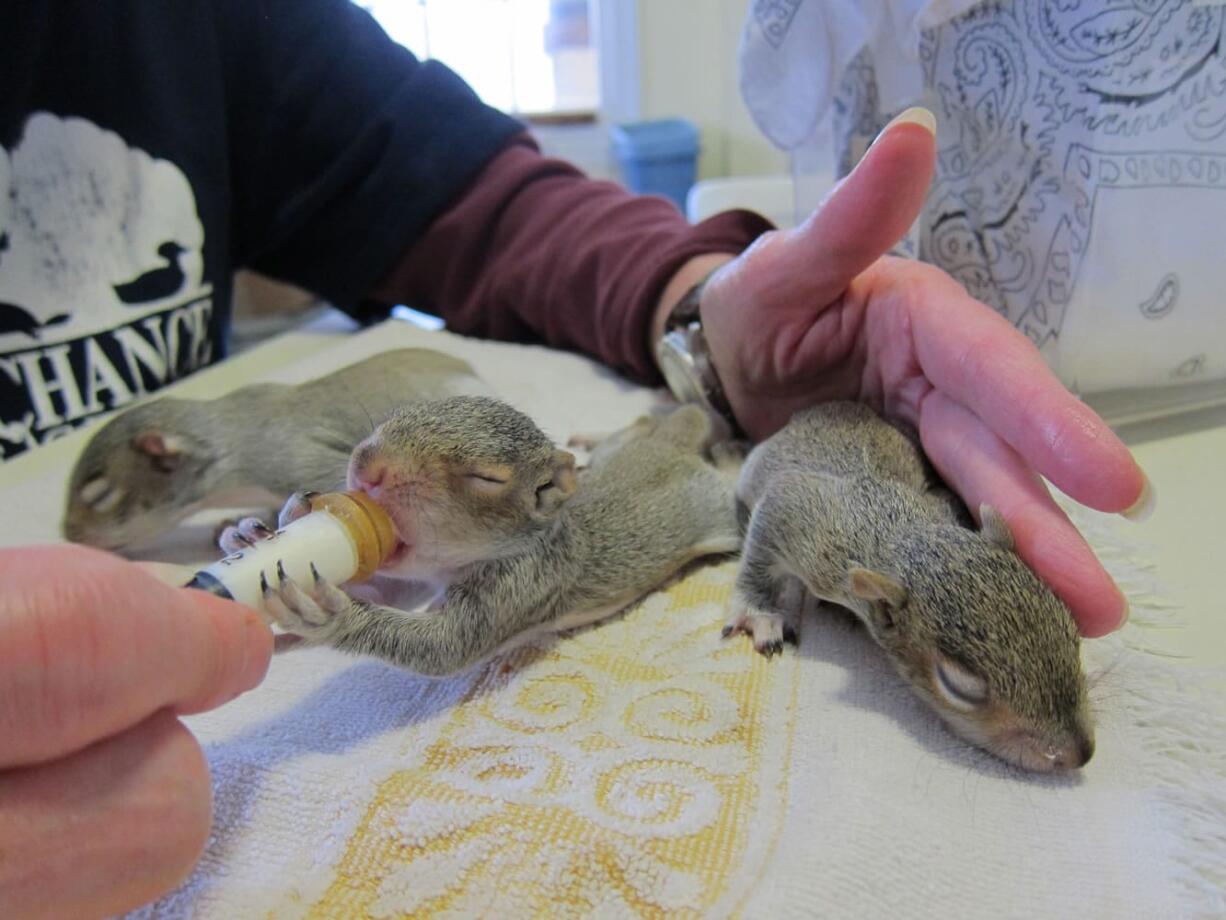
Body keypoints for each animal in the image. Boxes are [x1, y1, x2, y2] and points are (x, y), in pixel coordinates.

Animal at [215, 397, 740, 677]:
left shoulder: (521, 583)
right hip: (625, 448)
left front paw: (331, 616)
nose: (367, 466)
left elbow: (445, 646)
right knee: (638, 427)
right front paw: (257, 530)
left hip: (719, 512)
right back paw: (600, 436)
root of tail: (672, 449)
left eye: (487, 478)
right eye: (399, 414)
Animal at [720, 407, 1098, 775]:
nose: (1078, 754)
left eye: (1071, 632)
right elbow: (763, 543)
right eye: (957, 685)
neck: (897, 529)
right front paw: (759, 612)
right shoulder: (807, 527)